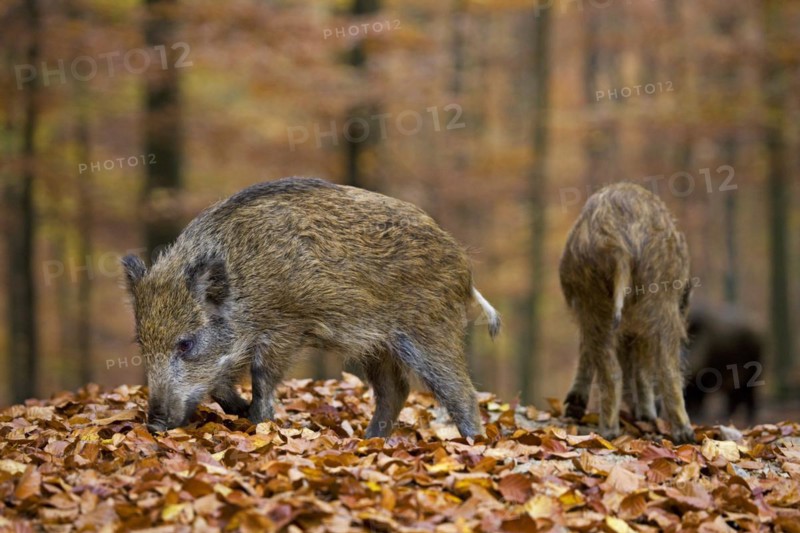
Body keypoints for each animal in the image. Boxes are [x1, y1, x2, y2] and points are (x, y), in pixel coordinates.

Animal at [121, 177, 500, 438]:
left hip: (430, 329)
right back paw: (369, 441)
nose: (154, 425)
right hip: (375, 345)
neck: (245, 288)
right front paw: (242, 412)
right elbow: (219, 383)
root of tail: (463, 265)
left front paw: (257, 420)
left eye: (185, 343)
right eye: (142, 344)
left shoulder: (286, 326)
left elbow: (262, 377)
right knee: (396, 391)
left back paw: (473, 443)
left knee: (461, 392)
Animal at [559, 182, 695, 443]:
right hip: (657, 302)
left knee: (612, 368)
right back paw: (681, 433)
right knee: (665, 367)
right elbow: (642, 369)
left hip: (596, 303)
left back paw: (608, 430)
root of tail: (617, 245)